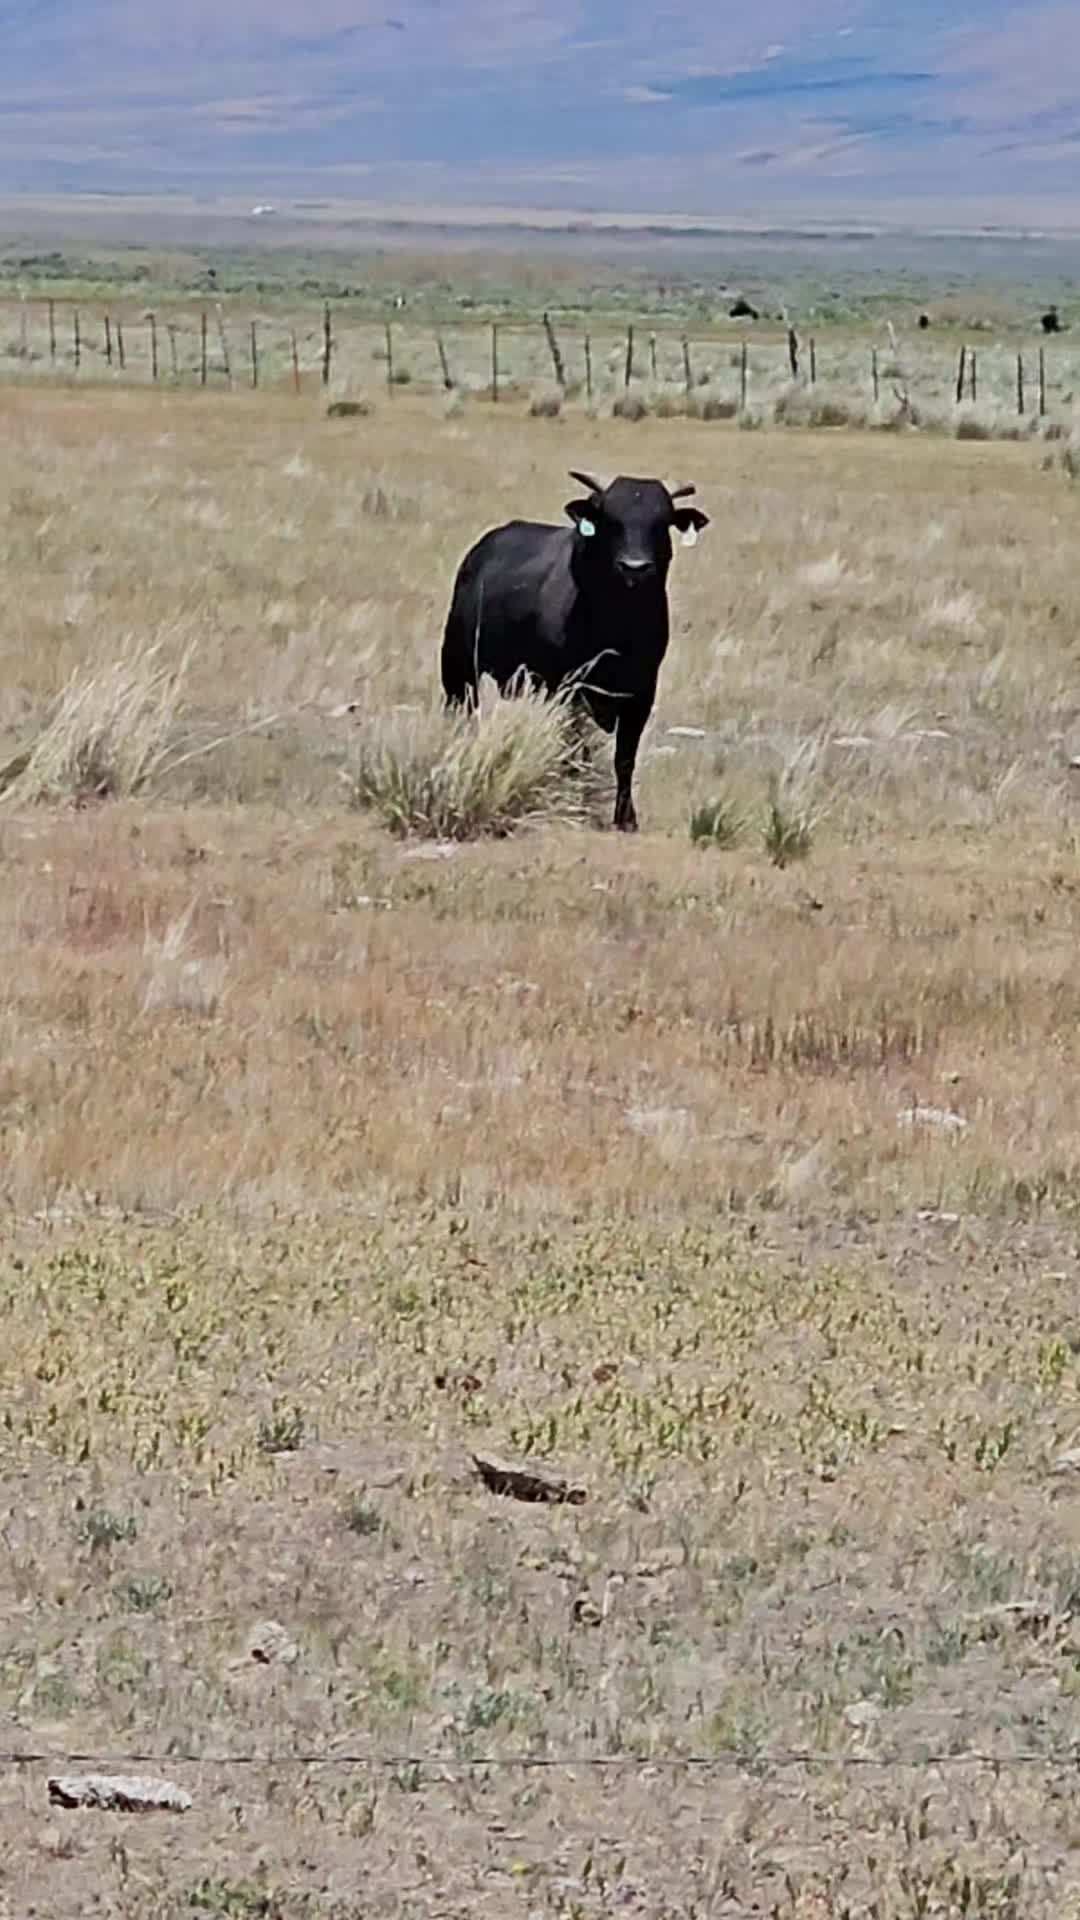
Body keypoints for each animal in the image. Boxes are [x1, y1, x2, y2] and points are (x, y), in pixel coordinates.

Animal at [440, 470, 708, 832]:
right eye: (611, 520)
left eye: (662, 523)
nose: (635, 567)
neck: (618, 628)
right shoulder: (569, 689)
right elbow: (577, 751)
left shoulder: (641, 694)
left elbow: (625, 758)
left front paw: (626, 817)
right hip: (458, 667)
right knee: (463, 714)